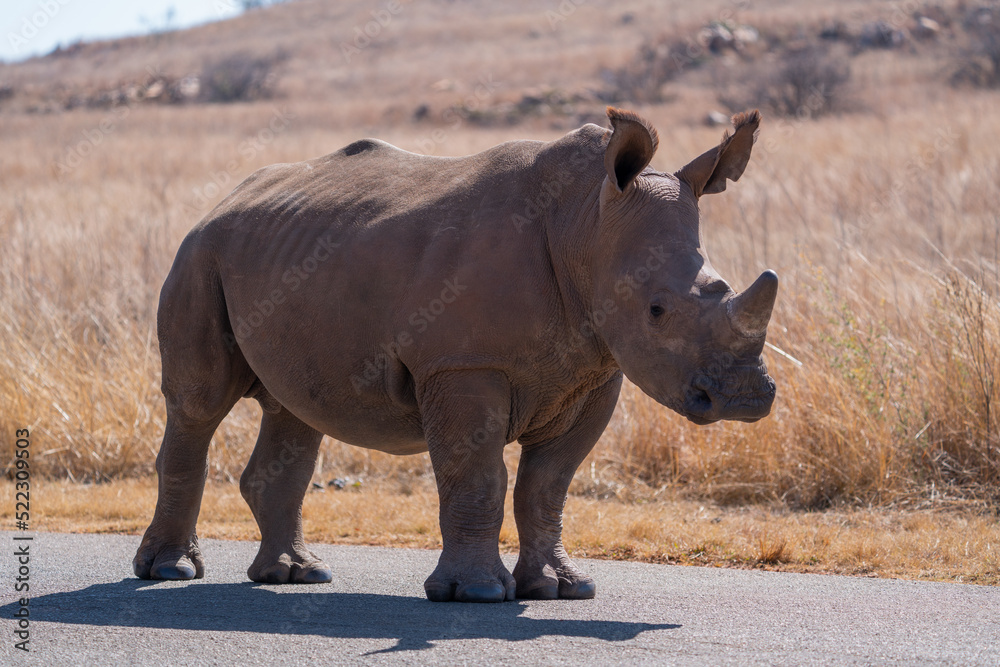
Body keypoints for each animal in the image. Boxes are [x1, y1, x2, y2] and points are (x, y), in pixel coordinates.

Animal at [134, 107, 777, 603]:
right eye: (657, 310)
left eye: (720, 287)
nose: (749, 397)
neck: (585, 223)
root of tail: (223, 199)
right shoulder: (463, 364)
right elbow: (478, 475)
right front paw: (478, 593)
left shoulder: (596, 372)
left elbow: (549, 483)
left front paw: (562, 589)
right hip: (200, 255)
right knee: (198, 405)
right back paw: (170, 572)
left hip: (277, 255)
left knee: (295, 408)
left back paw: (296, 576)